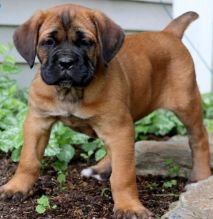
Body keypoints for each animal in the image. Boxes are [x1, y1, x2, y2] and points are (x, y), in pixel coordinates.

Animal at [0, 3, 211, 219]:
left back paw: (201, 177)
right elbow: (28, 160)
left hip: (186, 103)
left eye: (86, 42)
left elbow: (123, 175)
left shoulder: (118, 127)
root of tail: (169, 33)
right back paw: (99, 169)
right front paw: (17, 187)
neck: (71, 92)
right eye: (48, 42)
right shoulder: (37, 122)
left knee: (199, 138)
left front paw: (128, 206)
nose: (66, 62)